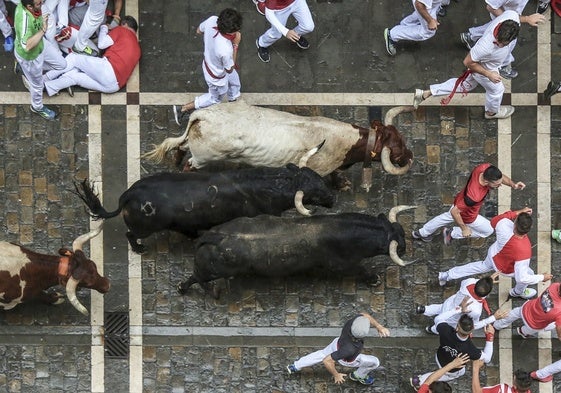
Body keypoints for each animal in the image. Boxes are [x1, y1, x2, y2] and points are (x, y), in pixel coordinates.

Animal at [74, 164, 336, 253]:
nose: (333, 198)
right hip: (144, 228)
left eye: (318, 178)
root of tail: (129, 194)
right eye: (314, 192)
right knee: (131, 234)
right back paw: (139, 249)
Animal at [143, 101, 416, 190]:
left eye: (402, 139)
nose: (411, 156)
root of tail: (202, 116)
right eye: (397, 148)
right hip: (202, 158)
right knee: (189, 165)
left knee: (180, 147)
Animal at [177, 208, 414, 298]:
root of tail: (215, 236)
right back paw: (184, 288)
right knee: (195, 277)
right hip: (212, 270)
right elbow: (361, 270)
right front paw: (374, 279)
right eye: (399, 243)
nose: (405, 246)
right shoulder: (343, 264)